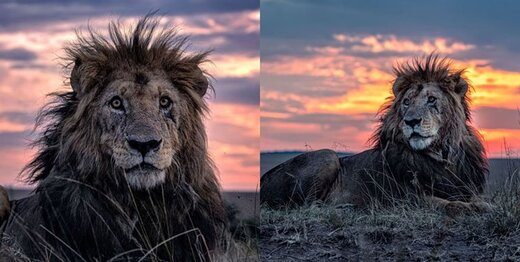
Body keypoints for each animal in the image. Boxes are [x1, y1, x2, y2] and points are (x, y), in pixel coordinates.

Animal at [262, 54, 490, 214]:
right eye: (406, 102)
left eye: (432, 99)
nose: (411, 121)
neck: (443, 157)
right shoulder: (409, 200)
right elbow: (450, 205)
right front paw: (476, 208)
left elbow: (475, 199)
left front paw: (484, 204)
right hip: (327, 156)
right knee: (307, 206)